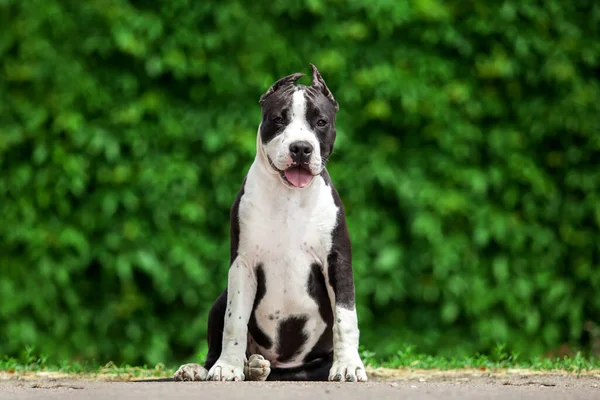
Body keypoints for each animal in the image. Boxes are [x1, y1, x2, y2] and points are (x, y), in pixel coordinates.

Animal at [173, 64, 368, 382]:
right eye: (279, 119)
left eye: (321, 122)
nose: (301, 148)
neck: (289, 196)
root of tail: (281, 368)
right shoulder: (243, 264)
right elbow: (235, 320)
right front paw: (227, 367)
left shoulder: (337, 261)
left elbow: (345, 317)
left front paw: (349, 365)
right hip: (220, 298)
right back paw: (209, 368)